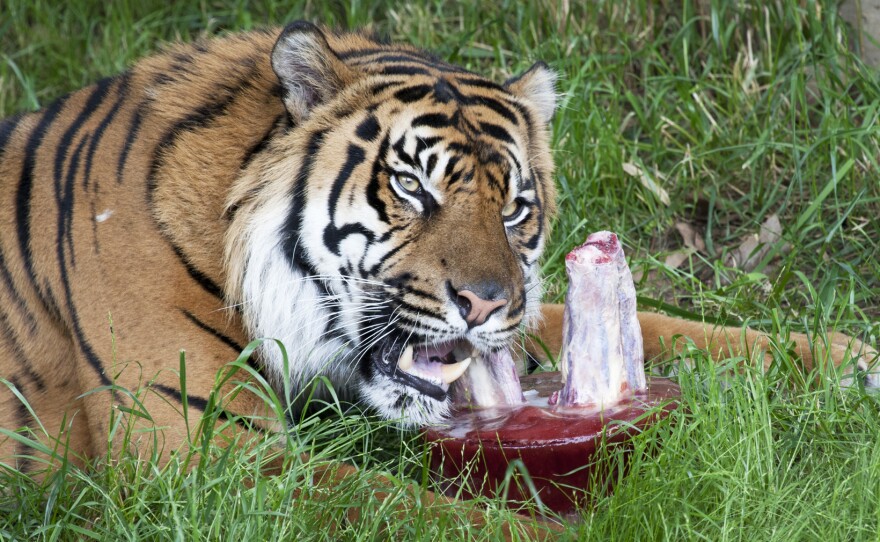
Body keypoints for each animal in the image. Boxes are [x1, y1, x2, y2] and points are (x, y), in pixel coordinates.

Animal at [0, 19, 876, 502]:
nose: (486, 304)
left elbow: (675, 329)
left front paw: (846, 359)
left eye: (514, 207)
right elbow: (424, 514)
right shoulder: (209, 458)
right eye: (413, 188)